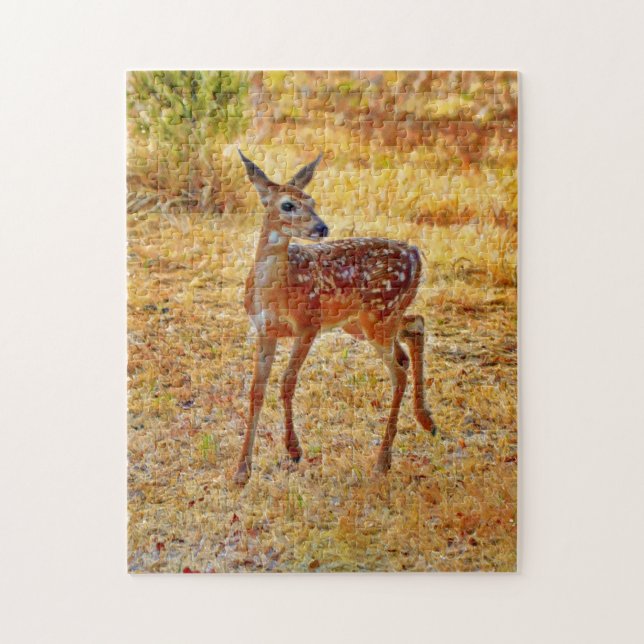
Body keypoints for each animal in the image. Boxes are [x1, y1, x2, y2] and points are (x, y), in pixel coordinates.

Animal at [233, 150, 437, 484]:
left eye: (312, 201)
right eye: (287, 204)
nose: (322, 228)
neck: (278, 289)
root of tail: (416, 252)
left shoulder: (309, 324)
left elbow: (287, 382)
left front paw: (293, 450)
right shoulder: (265, 329)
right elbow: (256, 390)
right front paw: (242, 470)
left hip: (377, 314)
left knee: (399, 371)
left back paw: (383, 460)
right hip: (365, 320)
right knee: (414, 328)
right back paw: (427, 421)